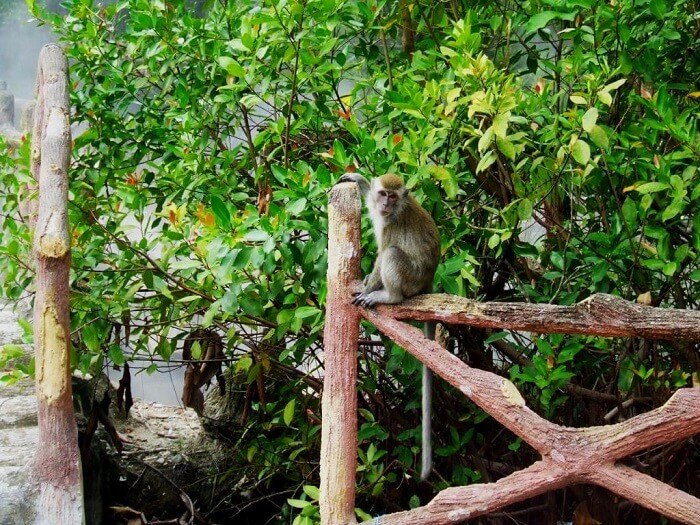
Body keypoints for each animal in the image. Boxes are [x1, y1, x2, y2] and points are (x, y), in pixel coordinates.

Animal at [338, 172, 440, 478]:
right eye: (383, 193)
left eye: (392, 197)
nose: (384, 203)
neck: (392, 212)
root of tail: (428, 281)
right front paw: (358, 179)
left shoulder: (392, 225)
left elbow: (384, 252)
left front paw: (367, 288)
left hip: (411, 279)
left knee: (393, 254)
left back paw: (388, 296)